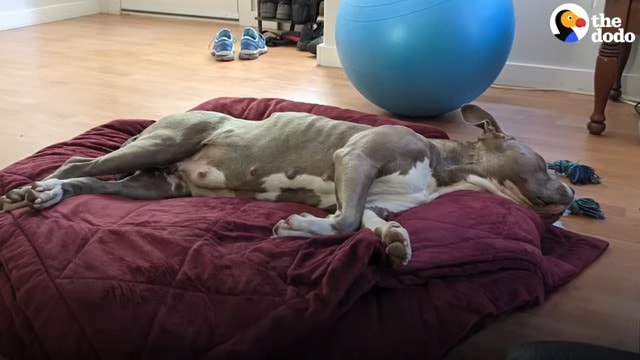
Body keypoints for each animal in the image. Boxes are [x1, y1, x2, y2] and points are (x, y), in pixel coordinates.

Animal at [0, 105, 572, 268]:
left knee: (90, 179)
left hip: (153, 187)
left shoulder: (365, 191)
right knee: (76, 160)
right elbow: (343, 221)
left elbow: (362, 220)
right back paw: (32, 191)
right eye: (546, 164)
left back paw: (48, 195)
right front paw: (299, 228)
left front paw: (394, 242)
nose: (571, 195)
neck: (442, 168)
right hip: (158, 145)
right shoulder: (356, 158)